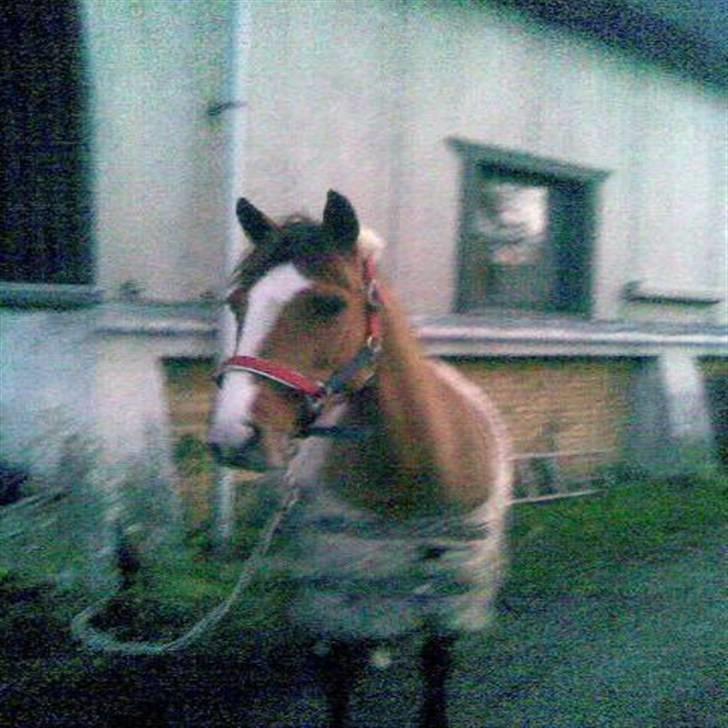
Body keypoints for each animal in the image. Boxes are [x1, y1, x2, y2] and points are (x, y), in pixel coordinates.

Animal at [209, 190, 512, 727]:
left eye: (329, 304)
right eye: (237, 303)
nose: (233, 437)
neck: (412, 472)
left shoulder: (448, 600)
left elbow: (435, 674)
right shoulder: (339, 596)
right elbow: (337, 682)